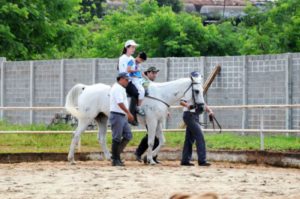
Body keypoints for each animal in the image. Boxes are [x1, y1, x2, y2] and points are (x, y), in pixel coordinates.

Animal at [66, 74, 205, 165]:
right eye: (197, 91)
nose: (201, 108)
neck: (161, 95)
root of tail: (86, 88)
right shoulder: (152, 121)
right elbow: (150, 141)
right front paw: (149, 159)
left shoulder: (158, 122)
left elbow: (162, 141)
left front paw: (149, 157)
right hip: (86, 118)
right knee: (76, 135)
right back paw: (71, 159)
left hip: (102, 119)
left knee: (101, 138)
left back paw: (110, 157)